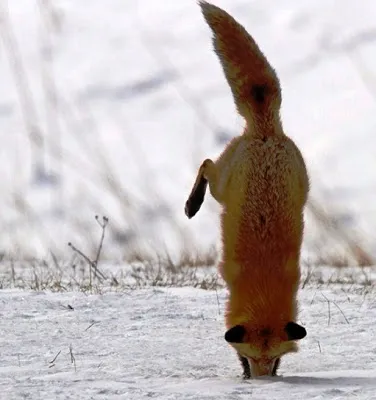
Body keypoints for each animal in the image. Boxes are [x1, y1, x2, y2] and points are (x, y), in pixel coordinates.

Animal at [184, 0, 310, 378]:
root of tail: (266, 132)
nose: (261, 382)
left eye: (276, 360)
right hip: (222, 184)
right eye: (250, 359)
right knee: (206, 164)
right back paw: (191, 204)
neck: (263, 282)